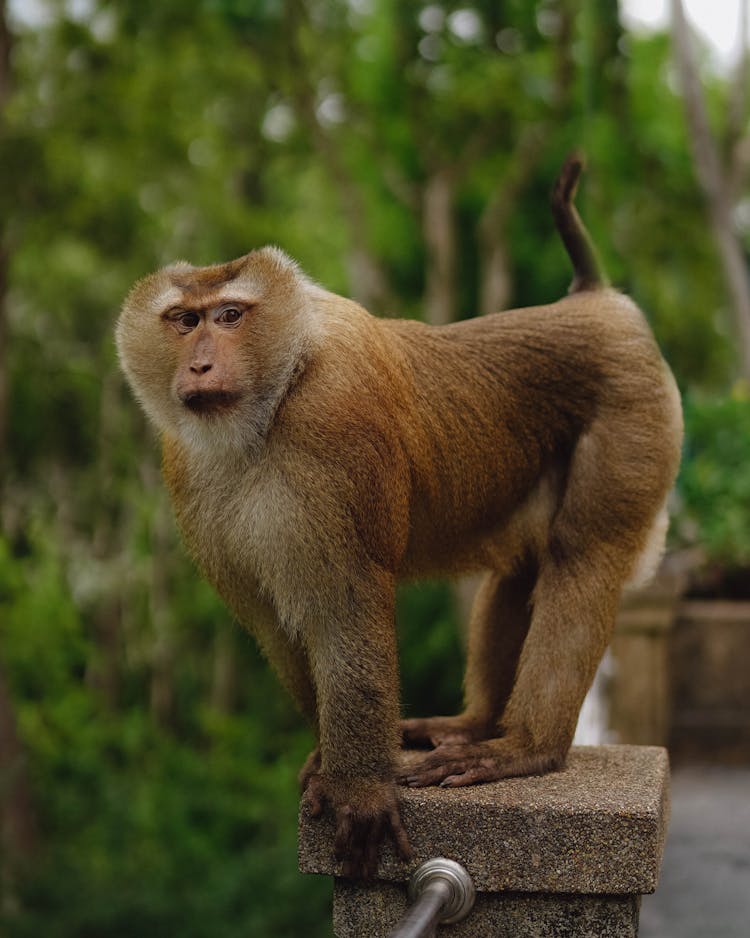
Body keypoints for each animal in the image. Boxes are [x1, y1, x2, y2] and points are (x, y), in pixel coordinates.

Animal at [114, 154, 684, 876]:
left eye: (232, 314)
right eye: (185, 321)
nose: (200, 364)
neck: (283, 385)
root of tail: (595, 300)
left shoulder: (334, 425)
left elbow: (346, 605)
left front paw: (360, 790)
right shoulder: (184, 470)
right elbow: (276, 625)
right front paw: (331, 766)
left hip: (632, 413)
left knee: (582, 556)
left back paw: (525, 748)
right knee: (523, 569)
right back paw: (476, 724)